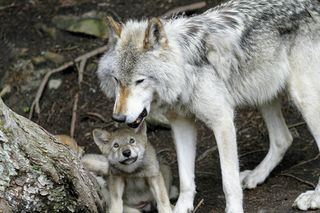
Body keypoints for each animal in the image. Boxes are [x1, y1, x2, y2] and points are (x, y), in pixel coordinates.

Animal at [97, 0, 320, 211]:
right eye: (117, 80)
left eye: (140, 81)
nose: (118, 118)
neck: (184, 68)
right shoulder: (181, 124)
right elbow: (186, 178)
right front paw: (181, 208)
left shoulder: (222, 121)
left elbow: (229, 182)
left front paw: (234, 209)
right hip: (263, 92)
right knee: (284, 138)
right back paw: (256, 175)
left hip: (303, 97)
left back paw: (314, 197)